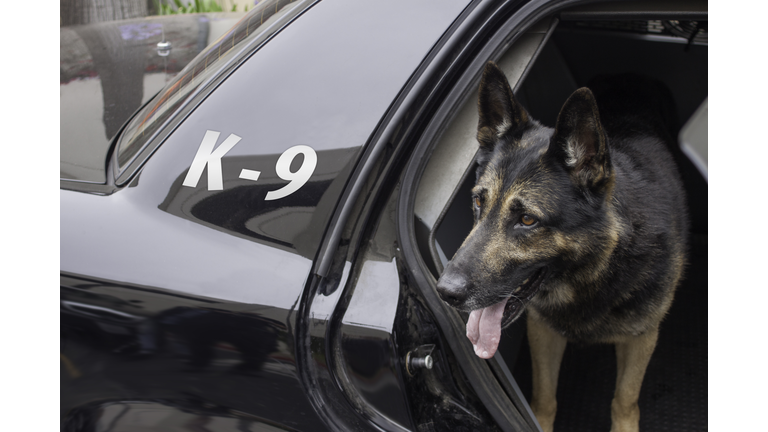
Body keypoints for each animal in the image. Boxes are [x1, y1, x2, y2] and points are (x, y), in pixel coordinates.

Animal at [436, 61, 688, 432]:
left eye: (527, 220)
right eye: (479, 201)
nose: (445, 292)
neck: (597, 269)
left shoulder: (642, 337)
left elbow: (624, 401)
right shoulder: (543, 330)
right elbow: (544, 398)